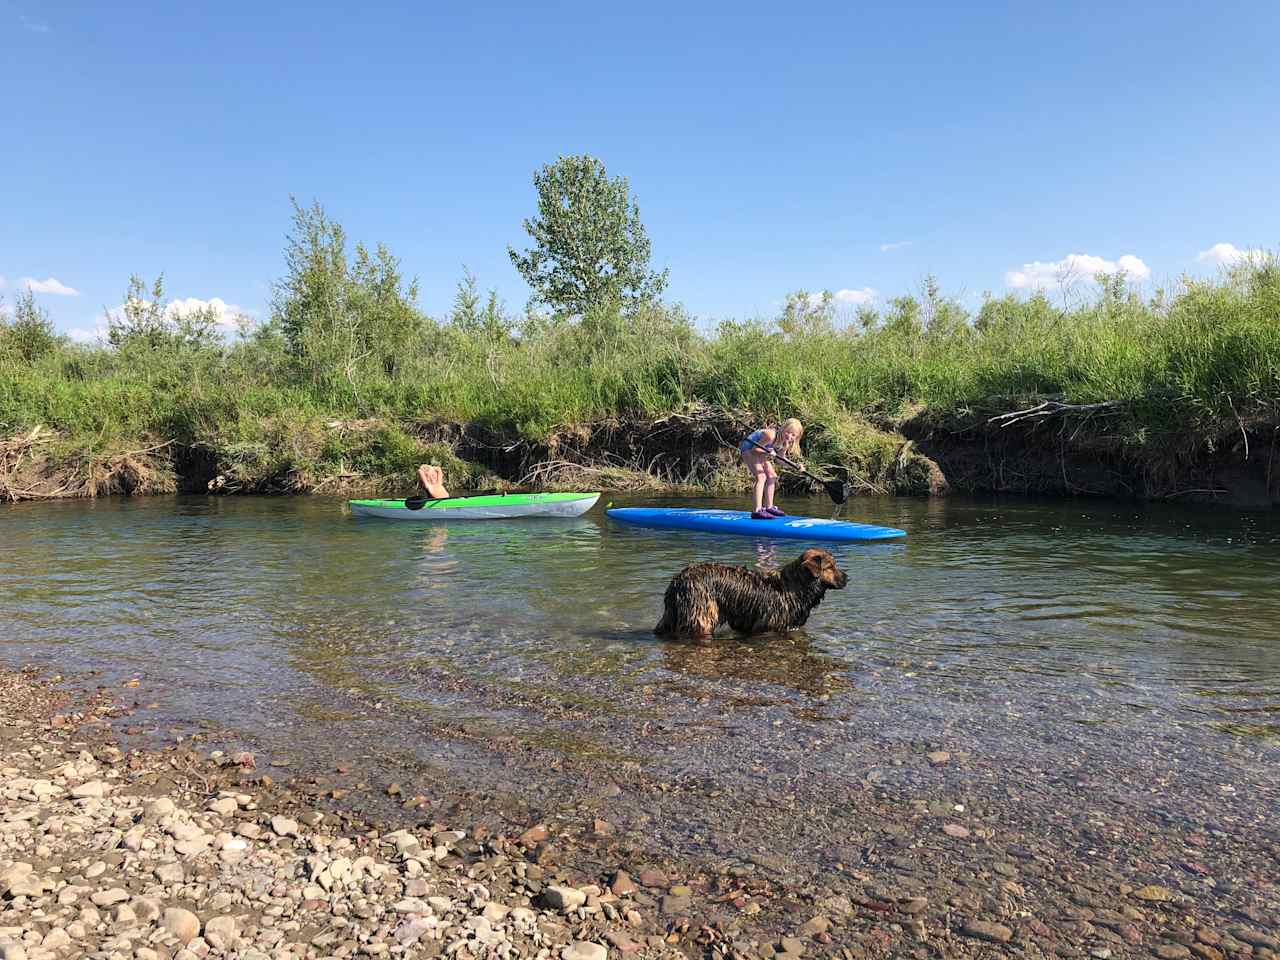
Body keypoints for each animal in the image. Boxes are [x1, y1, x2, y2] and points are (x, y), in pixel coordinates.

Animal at [655, 547, 844, 640]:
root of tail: (677, 580)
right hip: (701, 614)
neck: (796, 586)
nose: (847, 578)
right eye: (830, 567)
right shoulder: (768, 626)